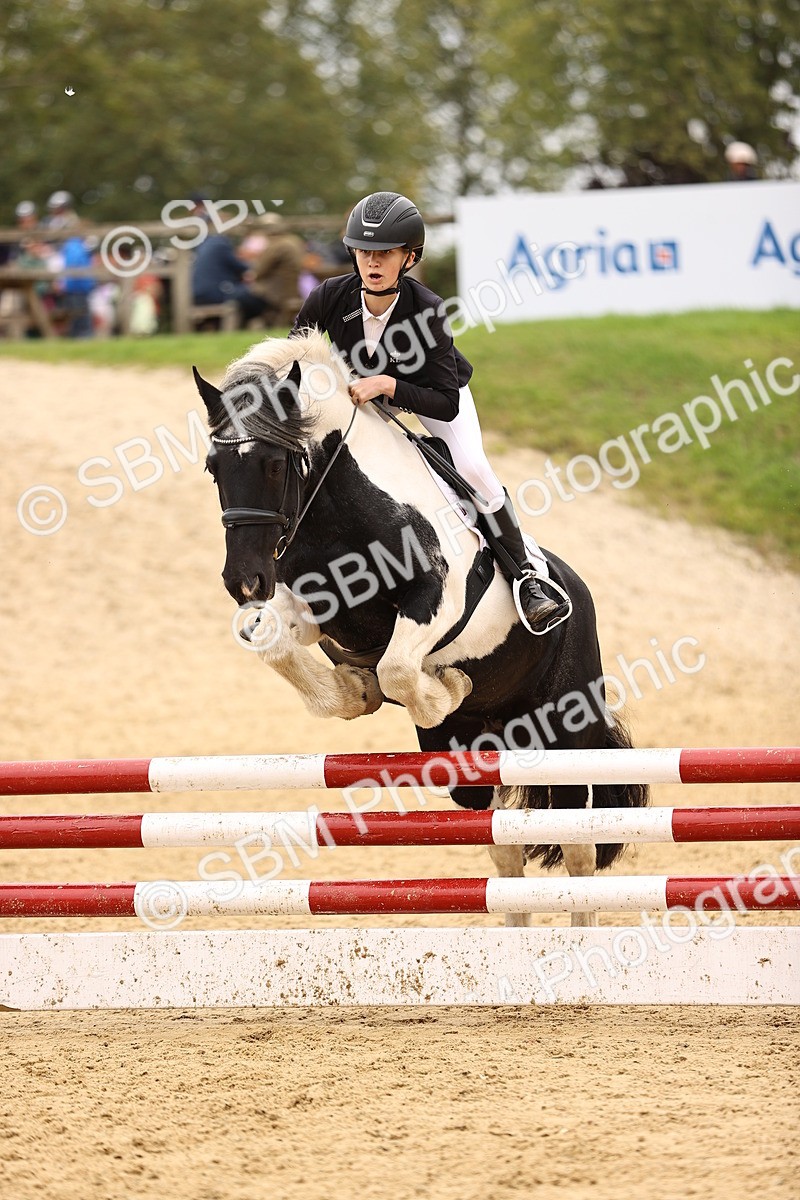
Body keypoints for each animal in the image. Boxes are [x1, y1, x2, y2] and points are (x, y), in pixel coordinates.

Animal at [194, 330, 649, 927]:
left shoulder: (437, 597)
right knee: (504, 846)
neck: (337, 511)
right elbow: (279, 648)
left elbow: (399, 669)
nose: (244, 581)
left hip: (566, 732)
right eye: (212, 467)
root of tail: (578, 591)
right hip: (478, 760)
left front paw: (445, 686)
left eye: (274, 464)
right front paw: (354, 690)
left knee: (577, 846)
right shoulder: (306, 604)